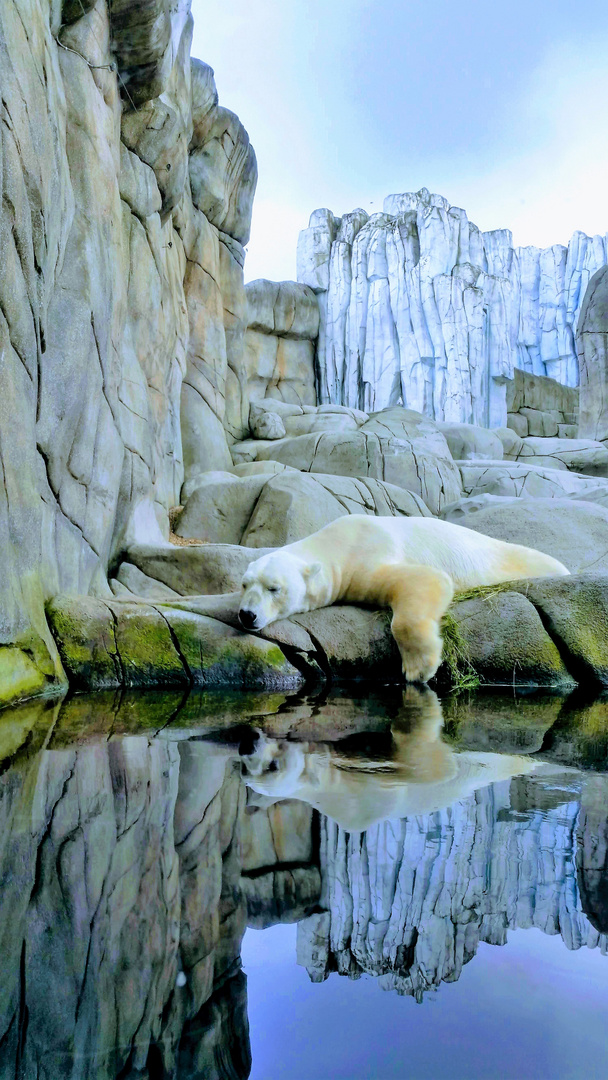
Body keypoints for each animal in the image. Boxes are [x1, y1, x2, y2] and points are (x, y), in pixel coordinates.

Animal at [238, 509, 570, 678]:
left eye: (273, 588)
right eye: (244, 584)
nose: (247, 614)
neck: (336, 543)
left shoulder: (366, 556)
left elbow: (427, 580)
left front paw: (419, 668)